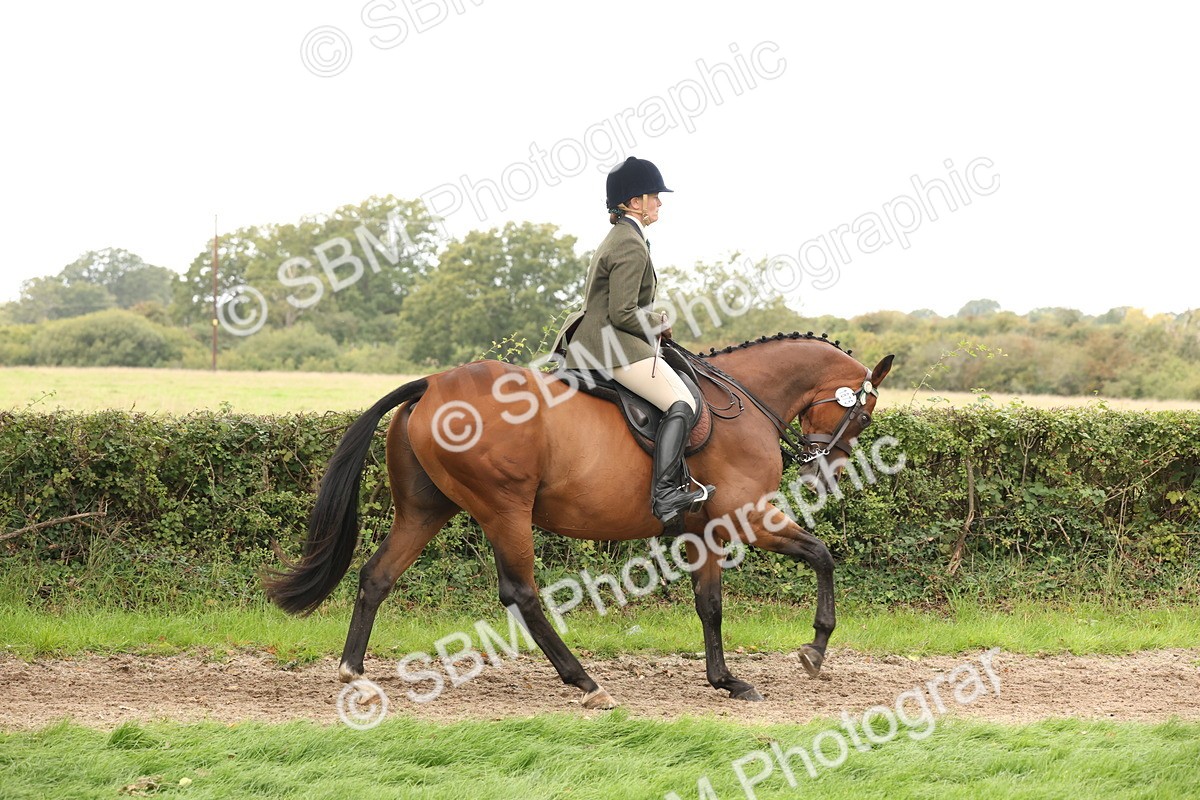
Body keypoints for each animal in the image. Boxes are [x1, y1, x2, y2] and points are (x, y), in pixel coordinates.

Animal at [265, 332, 893, 708]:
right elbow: (822, 554)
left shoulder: (704, 530)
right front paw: (815, 649)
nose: (827, 473)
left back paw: (352, 671)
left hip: (426, 509)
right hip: (505, 508)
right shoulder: (748, 517)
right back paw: (586, 682)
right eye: (864, 414)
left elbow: (710, 604)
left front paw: (726, 680)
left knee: (377, 574)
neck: (744, 402)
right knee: (520, 592)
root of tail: (433, 383)